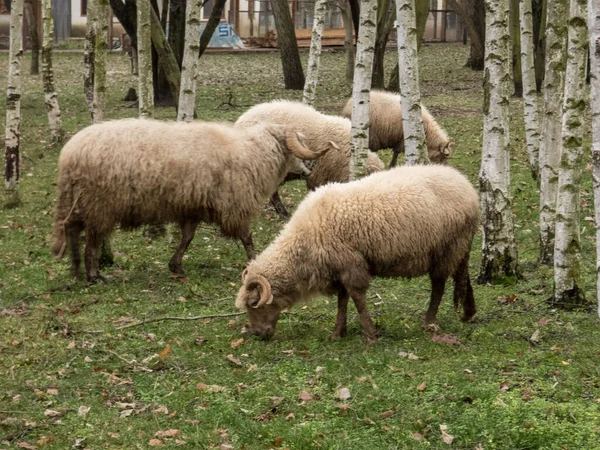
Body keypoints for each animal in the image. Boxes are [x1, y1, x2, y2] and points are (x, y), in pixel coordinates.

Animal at [50, 118, 328, 282]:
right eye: (296, 145)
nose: (309, 168)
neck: (253, 154)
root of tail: (69, 154)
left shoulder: (192, 207)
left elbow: (187, 238)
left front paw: (175, 265)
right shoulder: (234, 206)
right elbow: (246, 237)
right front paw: (253, 261)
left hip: (79, 201)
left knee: (71, 230)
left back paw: (75, 269)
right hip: (99, 204)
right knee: (92, 241)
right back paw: (93, 275)